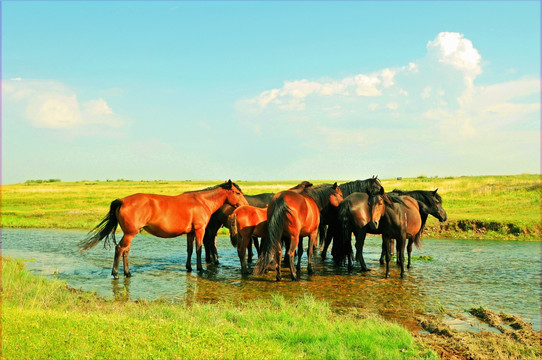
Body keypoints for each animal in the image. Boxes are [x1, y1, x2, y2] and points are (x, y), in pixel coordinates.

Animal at [78, 180, 249, 278]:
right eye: (237, 192)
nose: (245, 205)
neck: (201, 201)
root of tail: (123, 200)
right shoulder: (199, 230)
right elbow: (199, 249)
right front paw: (200, 269)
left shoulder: (190, 233)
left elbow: (190, 250)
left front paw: (188, 267)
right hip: (130, 233)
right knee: (119, 249)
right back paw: (115, 274)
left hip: (129, 234)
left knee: (125, 251)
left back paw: (128, 273)